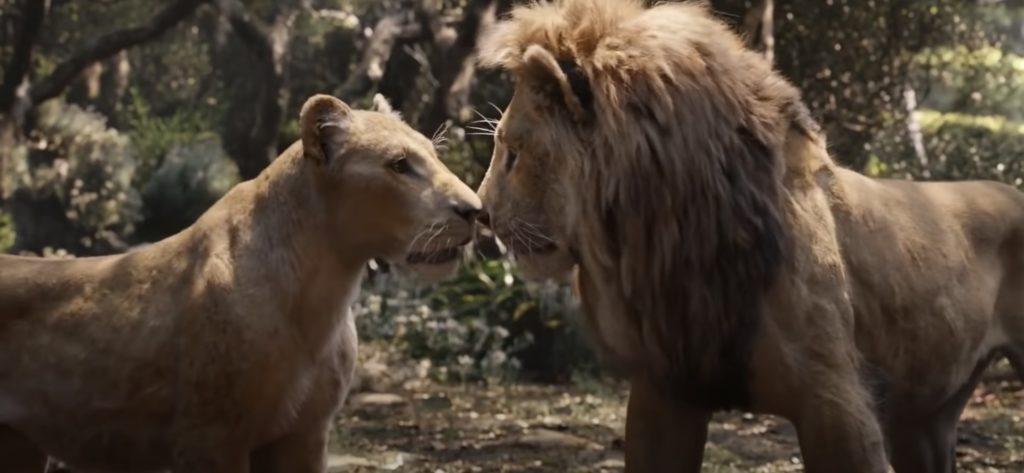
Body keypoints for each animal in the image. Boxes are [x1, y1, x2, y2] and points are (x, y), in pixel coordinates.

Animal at [0, 93, 479, 473]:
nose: (476, 210)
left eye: (434, 155)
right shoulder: (210, 438)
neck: (326, 287)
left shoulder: (304, 436)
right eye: (400, 165)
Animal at [475, 1, 1024, 470]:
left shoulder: (836, 401)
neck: (671, 237)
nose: (482, 213)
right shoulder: (665, 387)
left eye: (513, 152)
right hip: (924, 418)